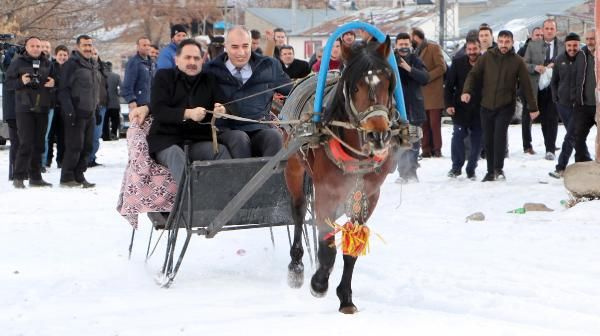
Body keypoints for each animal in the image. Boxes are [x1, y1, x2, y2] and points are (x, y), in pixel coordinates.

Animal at [284, 36, 400, 312]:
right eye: (355, 88)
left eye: (387, 83)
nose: (377, 135)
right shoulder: (326, 189)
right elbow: (326, 243)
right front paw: (319, 283)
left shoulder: (368, 194)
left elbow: (352, 244)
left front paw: (345, 296)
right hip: (293, 167)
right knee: (298, 211)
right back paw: (296, 266)